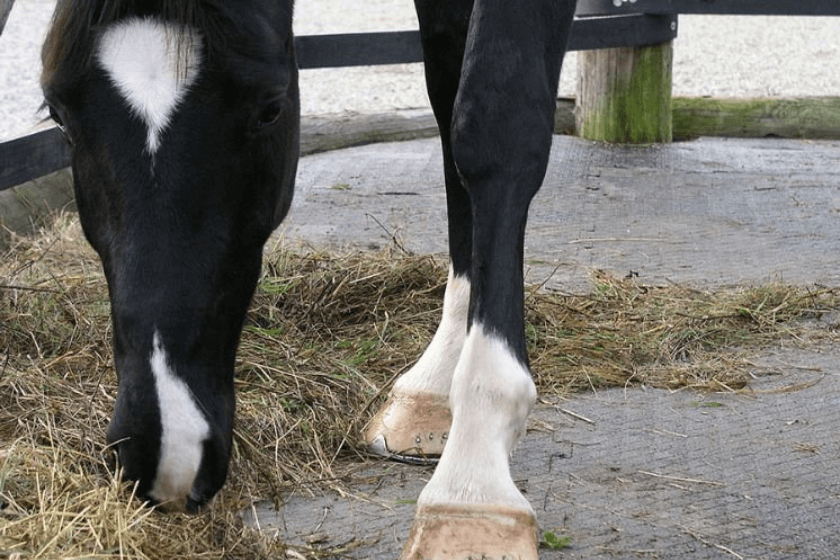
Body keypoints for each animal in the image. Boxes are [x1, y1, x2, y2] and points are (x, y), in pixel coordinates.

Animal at [41, 0, 576, 557]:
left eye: (270, 109)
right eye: (58, 115)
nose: (166, 447)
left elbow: (493, 124)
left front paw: (473, 488)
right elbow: (449, 105)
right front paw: (435, 385)